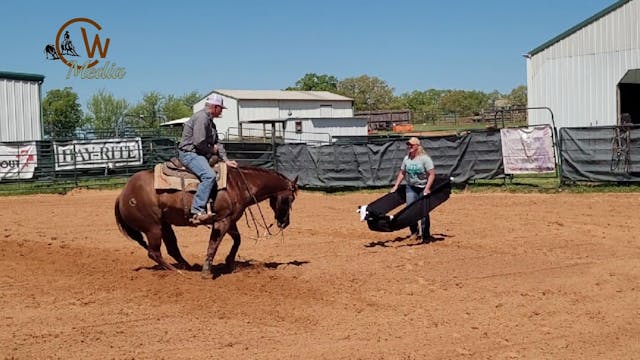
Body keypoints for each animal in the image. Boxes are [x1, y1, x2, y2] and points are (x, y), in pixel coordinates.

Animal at [113, 165, 298, 278]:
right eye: (290, 199)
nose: (285, 223)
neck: (237, 184)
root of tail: (123, 195)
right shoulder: (222, 221)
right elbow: (213, 245)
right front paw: (207, 271)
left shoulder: (230, 220)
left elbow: (237, 240)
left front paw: (229, 263)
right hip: (153, 227)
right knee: (154, 252)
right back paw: (178, 272)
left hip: (164, 225)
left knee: (172, 249)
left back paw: (187, 267)